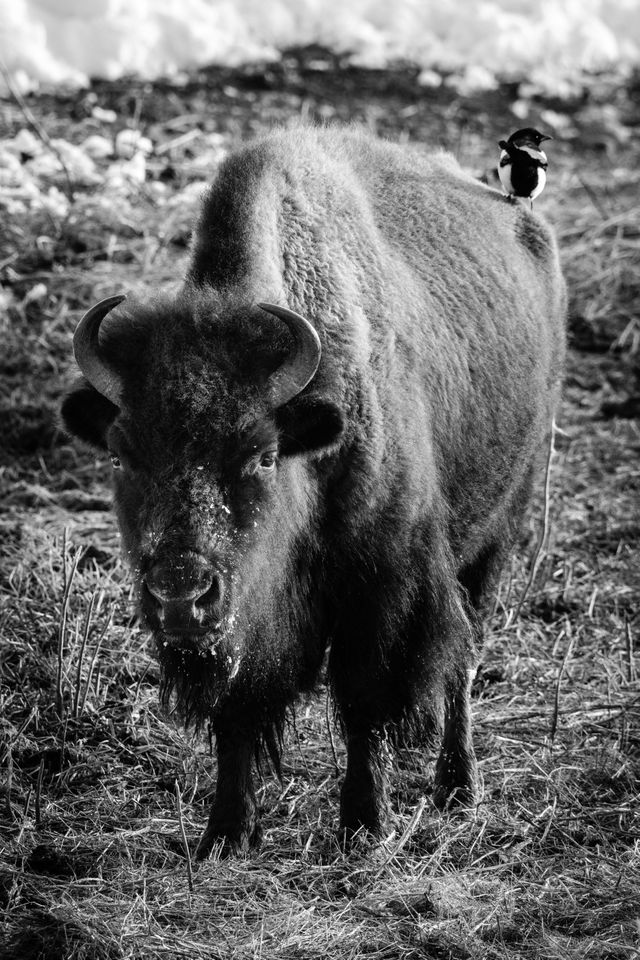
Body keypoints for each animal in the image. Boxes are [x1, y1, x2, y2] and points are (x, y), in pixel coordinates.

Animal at [62, 125, 564, 856]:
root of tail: (525, 221)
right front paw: (226, 832)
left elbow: (364, 699)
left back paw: (457, 786)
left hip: (494, 534)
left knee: (464, 654)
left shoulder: (381, 582)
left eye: (265, 455)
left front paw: (364, 826)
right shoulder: (248, 618)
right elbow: (239, 713)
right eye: (122, 455)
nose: (181, 594)